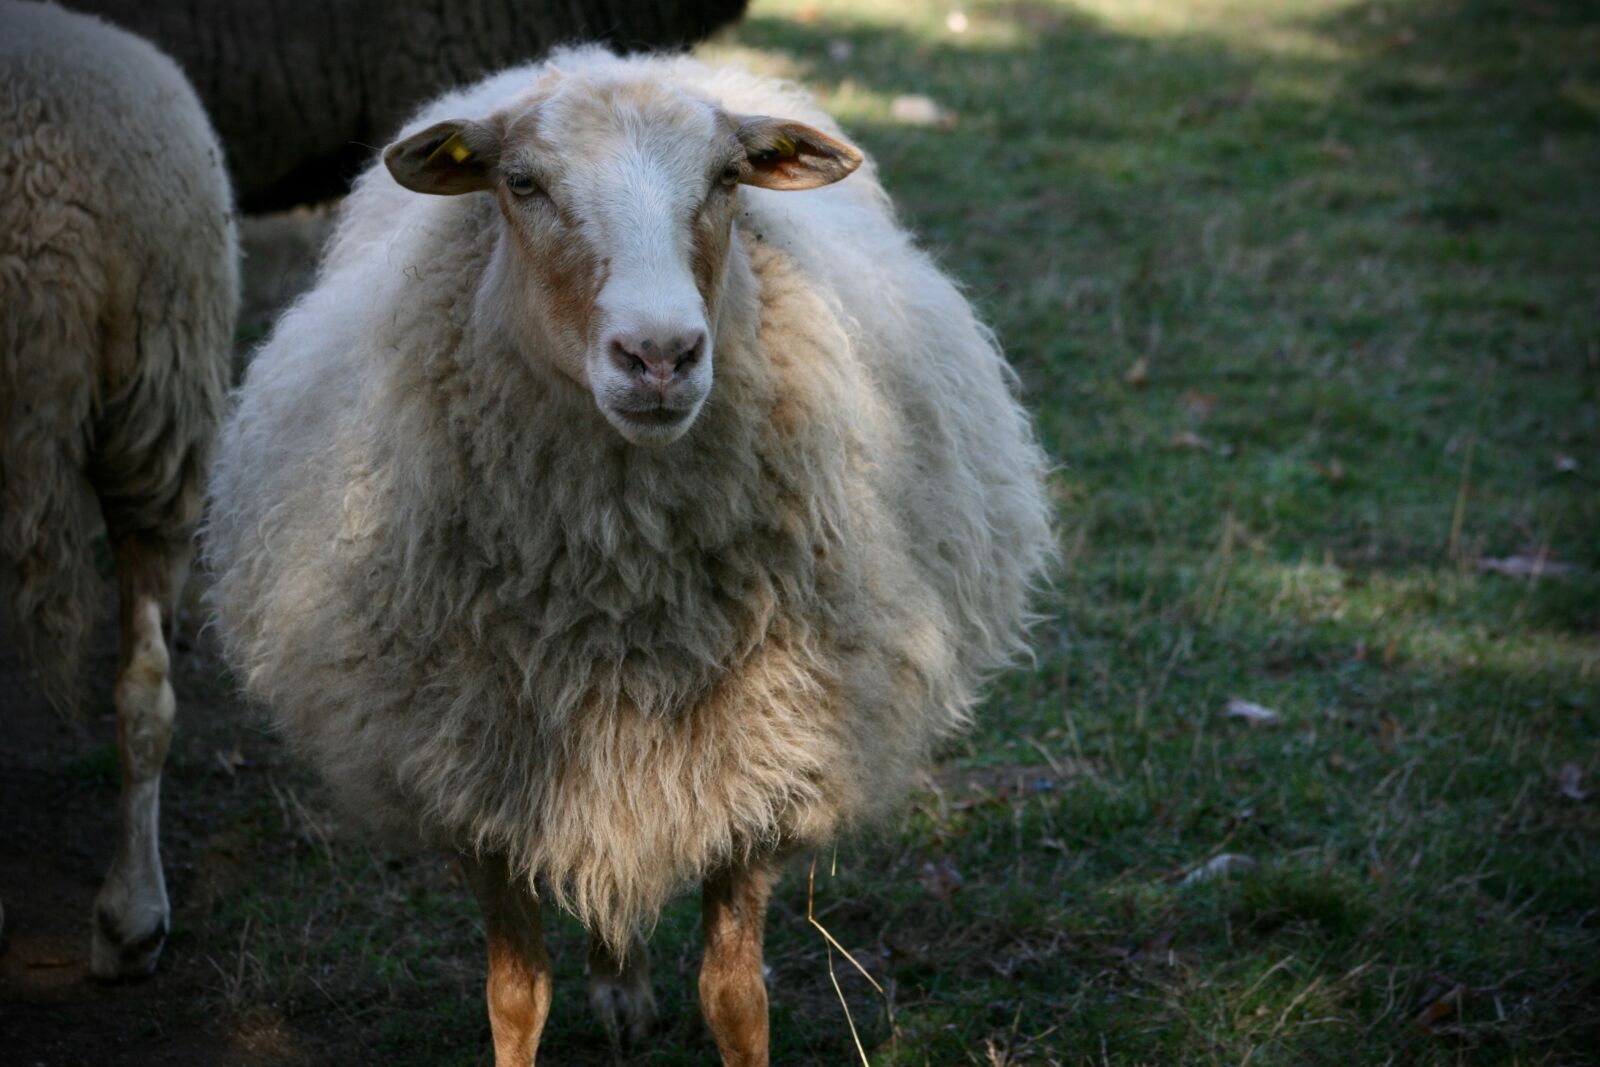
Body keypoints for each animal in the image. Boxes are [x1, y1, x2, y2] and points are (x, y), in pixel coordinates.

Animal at [206, 46, 1053, 1064]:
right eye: (521, 184)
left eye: (727, 178)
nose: (660, 355)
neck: (620, 593)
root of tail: (601, 55)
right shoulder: (473, 780)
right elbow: (515, 997)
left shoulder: (762, 761)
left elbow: (735, 997)